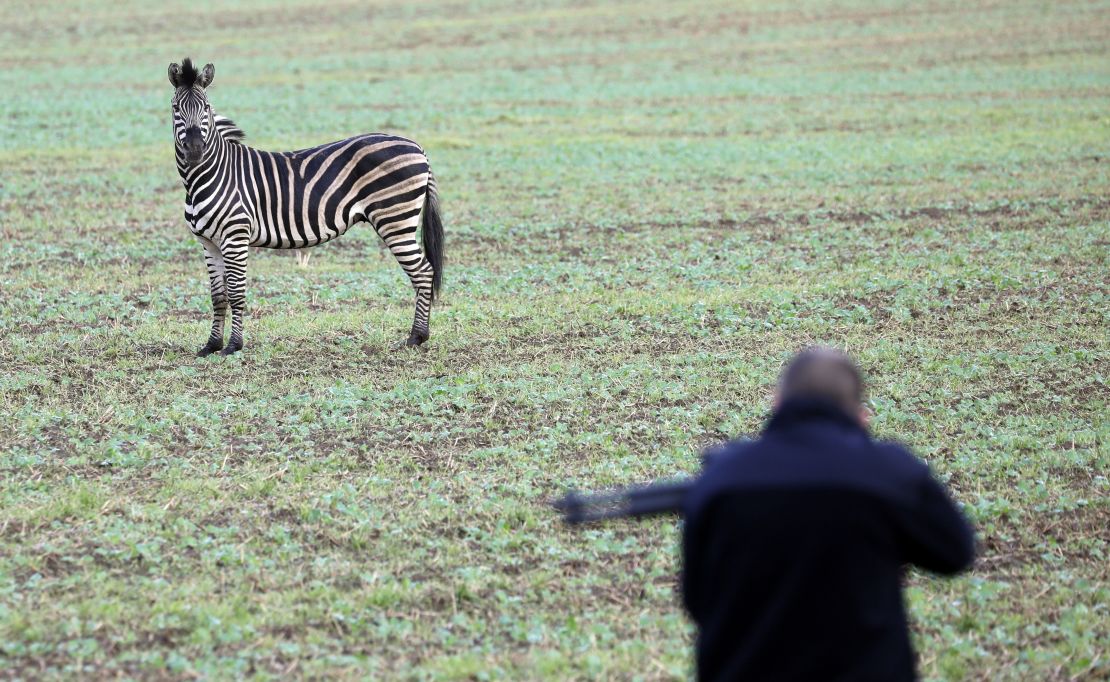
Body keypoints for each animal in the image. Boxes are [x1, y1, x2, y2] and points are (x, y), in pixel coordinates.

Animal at [166, 58, 444, 357]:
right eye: (176, 108)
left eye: (206, 107)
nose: (196, 150)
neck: (209, 175)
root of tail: (416, 146)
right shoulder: (209, 242)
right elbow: (218, 296)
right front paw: (211, 345)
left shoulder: (235, 236)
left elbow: (236, 293)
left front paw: (233, 346)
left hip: (395, 219)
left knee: (423, 272)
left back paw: (417, 336)